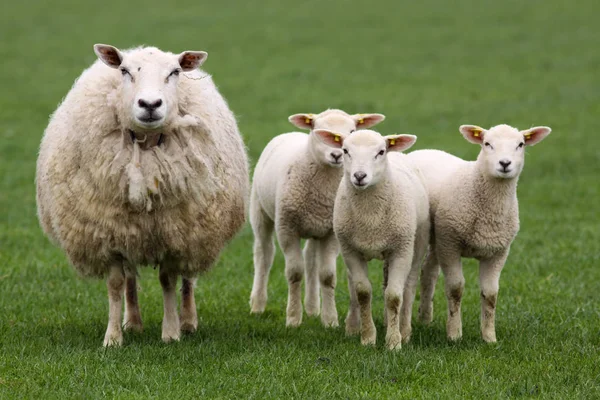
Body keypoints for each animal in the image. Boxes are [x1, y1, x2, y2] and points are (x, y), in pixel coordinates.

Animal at [35, 42, 248, 346]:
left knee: (188, 278)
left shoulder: (174, 234)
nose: (149, 105)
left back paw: (188, 321)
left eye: (174, 72)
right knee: (130, 278)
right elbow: (115, 284)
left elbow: (169, 281)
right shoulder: (109, 234)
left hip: (195, 230)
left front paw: (171, 332)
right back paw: (133, 322)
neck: (146, 148)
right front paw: (112, 337)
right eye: (125, 71)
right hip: (130, 230)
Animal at [248, 108, 384, 326]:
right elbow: (295, 273)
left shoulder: (330, 232)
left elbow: (327, 275)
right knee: (264, 254)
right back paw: (257, 305)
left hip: (314, 227)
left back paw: (312, 308)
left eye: (352, 131)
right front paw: (293, 319)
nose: (336, 154)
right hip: (260, 211)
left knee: (310, 259)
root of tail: (291, 133)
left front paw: (330, 320)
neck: (323, 188)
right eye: (318, 130)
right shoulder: (287, 228)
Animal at [314, 129, 432, 350]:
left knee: (409, 286)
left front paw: (394, 342)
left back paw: (405, 330)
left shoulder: (401, 250)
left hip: (417, 242)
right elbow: (362, 293)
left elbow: (394, 296)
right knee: (357, 285)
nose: (359, 176)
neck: (370, 219)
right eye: (345, 150)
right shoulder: (350, 250)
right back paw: (354, 326)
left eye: (380, 152)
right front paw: (368, 337)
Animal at [408, 123, 552, 342]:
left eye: (520, 144)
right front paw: (454, 334)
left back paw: (425, 318)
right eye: (487, 143)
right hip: (439, 238)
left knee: (429, 271)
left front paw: (489, 337)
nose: (505, 163)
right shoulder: (450, 244)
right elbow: (455, 289)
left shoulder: (498, 252)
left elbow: (490, 294)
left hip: (438, 239)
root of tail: (425, 150)